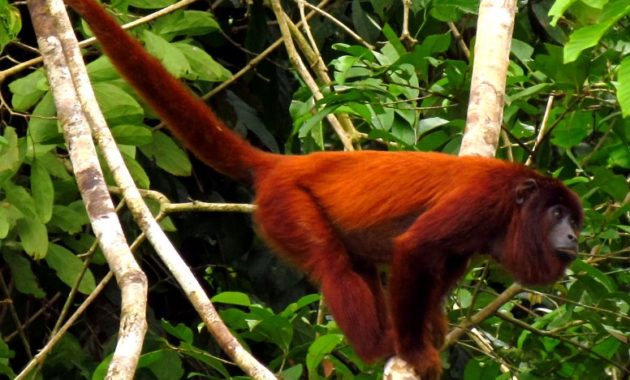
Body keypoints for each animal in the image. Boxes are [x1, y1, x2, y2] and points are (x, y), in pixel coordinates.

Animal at [60, 1, 584, 378]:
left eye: (574, 220)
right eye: (558, 214)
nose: (577, 237)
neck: (512, 206)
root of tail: (281, 165)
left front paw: (431, 327)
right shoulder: (481, 202)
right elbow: (415, 248)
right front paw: (413, 349)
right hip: (285, 206)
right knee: (334, 264)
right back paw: (377, 346)